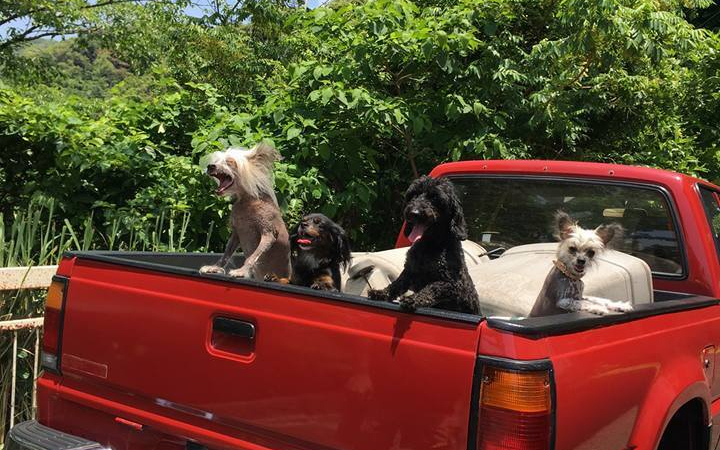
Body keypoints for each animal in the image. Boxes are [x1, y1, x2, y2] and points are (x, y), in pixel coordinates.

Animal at [198, 142, 292, 280]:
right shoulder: (236, 233)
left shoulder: (268, 233)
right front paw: (214, 268)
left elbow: (253, 257)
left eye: (230, 162)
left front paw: (241, 271)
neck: (246, 202)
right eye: (216, 161)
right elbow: (226, 254)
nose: (210, 166)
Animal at [368, 176, 480, 312]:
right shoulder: (409, 271)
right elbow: (397, 283)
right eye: (413, 195)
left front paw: (414, 299)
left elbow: (432, 288)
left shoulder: (453, 284)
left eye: (435, 197)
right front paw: (381, 293)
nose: (413, 213)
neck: (430, 244)